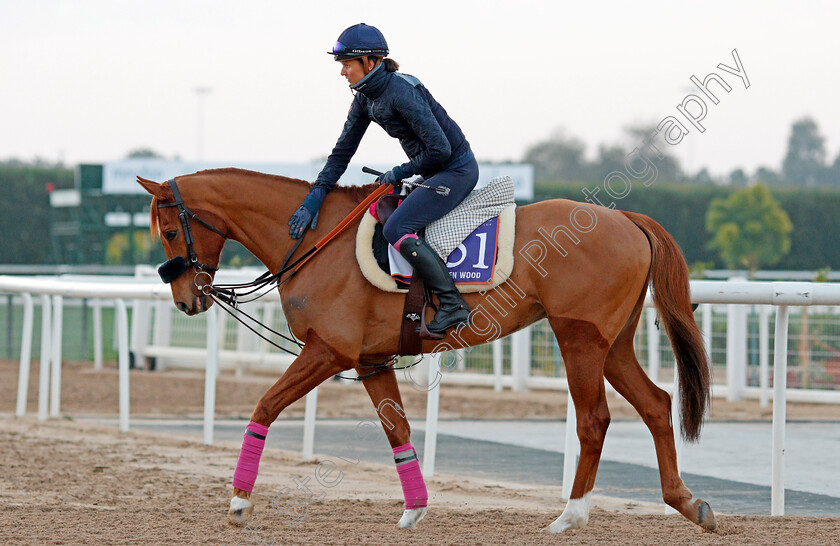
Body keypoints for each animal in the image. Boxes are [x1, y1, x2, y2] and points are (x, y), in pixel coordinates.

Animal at [138, 169, 716, 532]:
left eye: (168, 231)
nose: (187, 299)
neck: (313, 241)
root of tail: (628, 219)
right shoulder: (370, 362)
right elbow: (398, 432)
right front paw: (414, 510)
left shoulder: (327, 353)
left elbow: (264, 407)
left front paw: (239, 501)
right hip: (612, 344)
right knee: (657, 404)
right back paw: (686, 502)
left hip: (580, 339)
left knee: (595, 419)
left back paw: (571, 515)